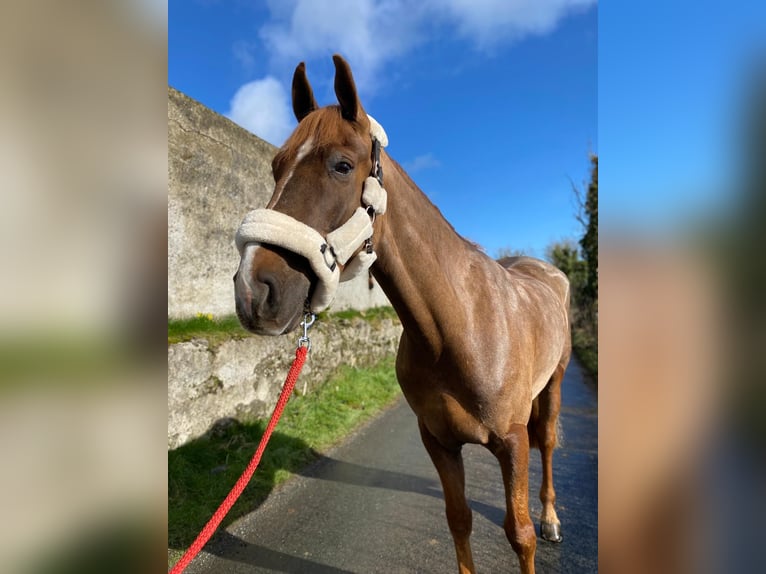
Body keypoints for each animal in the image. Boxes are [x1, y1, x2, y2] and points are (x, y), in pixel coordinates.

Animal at [232, 55, 568, 574]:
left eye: (342, 165)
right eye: (276, 167)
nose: (253, 290)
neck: (460, 327)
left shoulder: (511, 443)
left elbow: (520, 534)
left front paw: (536, 528)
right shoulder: (438, 440)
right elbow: (458, 520)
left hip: (553, 385)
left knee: (547, 443)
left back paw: (552, 517)